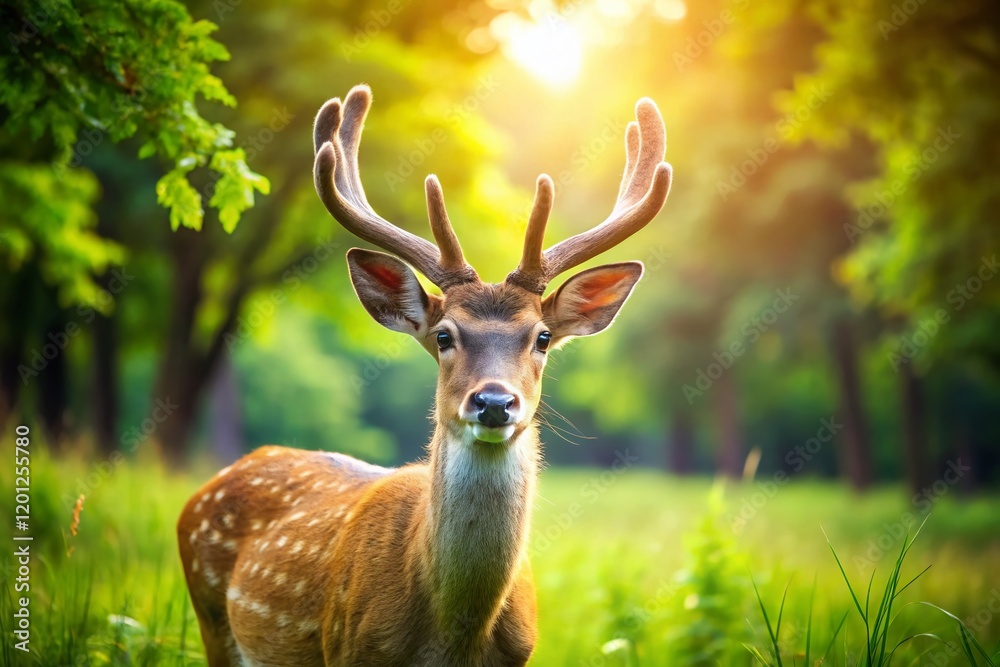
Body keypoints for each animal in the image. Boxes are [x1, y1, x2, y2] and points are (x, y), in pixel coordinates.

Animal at [177, 84, 672, 667]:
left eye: (543, 338)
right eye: (443, 336)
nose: (494, 403)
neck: (456, 636)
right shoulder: (349, 649)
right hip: (210, 618)